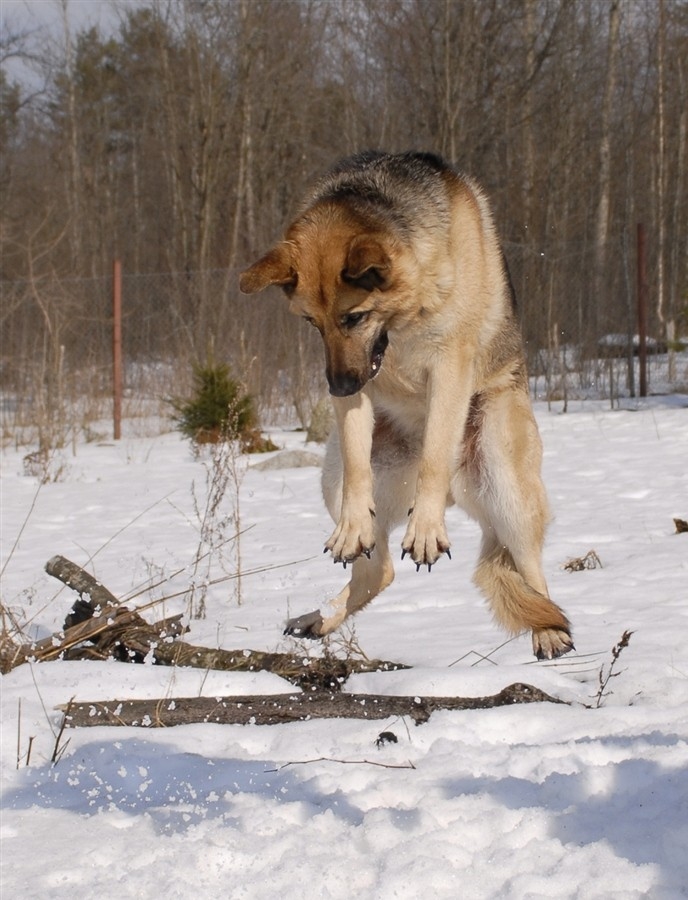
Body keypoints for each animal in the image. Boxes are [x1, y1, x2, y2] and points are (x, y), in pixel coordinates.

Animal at [239, 151, 572, 660]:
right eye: (313, 323)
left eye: (353, 317)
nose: (338, 387)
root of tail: (462, 490)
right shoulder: (356, 383)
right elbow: (359, 467)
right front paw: (354, 526)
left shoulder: (449, 366)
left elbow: (435, 455)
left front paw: (427, 528)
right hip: (331, 476)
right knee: (378, 570)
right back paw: (319, 617)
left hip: (505, 479)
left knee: (532, 573)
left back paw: (551, 632)